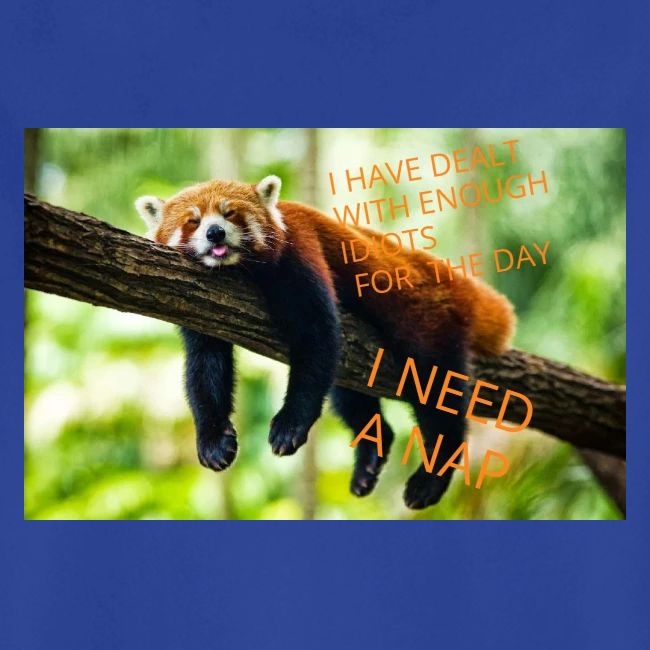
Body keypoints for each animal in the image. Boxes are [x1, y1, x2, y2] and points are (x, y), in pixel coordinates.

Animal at [136, 175, 515, 509]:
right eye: (193, 221)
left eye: (230, 214)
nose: (215, 232)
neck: (238, 270)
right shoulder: (200, 303)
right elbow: (205, 366)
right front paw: (213, 440)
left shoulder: (300, 252)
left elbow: (316, 337)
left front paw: (290, 425)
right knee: (348, 394)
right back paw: (370, 458)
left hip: (427, 321)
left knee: (436, 391)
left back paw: (431, 477)